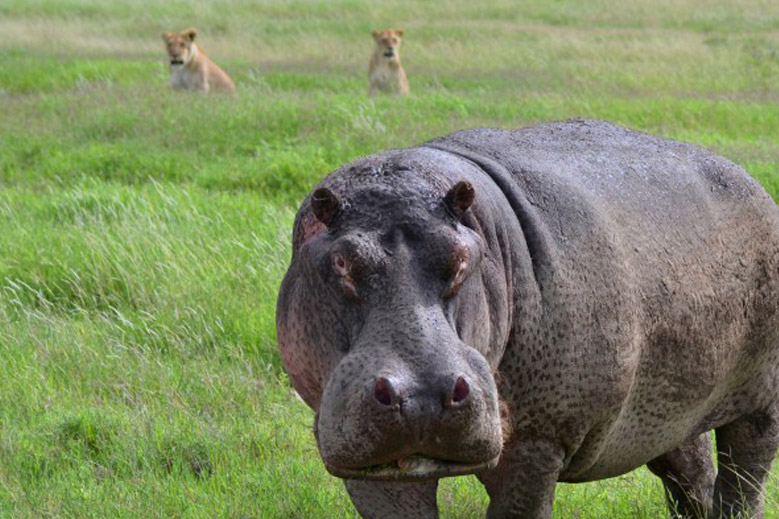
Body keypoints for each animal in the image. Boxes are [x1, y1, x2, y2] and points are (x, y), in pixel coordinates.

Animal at [276, 120, 779, 516]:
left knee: (744, 479)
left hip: (761, 402)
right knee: (692, 476)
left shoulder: (539, 441)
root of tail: (754, 183)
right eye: (341, 261)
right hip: (673, 409)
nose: (421, 397)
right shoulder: (363, 459)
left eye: (462, 258)